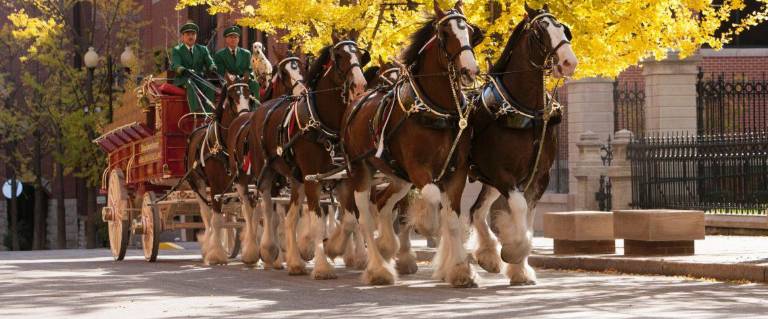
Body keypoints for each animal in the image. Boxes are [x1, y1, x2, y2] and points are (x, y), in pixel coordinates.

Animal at [340, 0, 480, 288]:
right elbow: (434, 199)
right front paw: (427, 226)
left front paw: (461, 270)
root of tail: (356, 102)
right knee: (364, 216)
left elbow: (452, 219)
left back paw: (387, 246)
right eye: (445, 33)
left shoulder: (457, 170)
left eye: (470, 32)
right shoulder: (418, 169)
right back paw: (378, 268)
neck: (437, 109)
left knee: (382, 203)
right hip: (360, 171)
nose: (470, 70)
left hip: (398, 176)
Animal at [468, 4, 576, 284]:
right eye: (540, 31)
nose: (569, 62)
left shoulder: (539, 176)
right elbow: (518, 207)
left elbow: (528, 216)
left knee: (476, 211)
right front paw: (513, 250)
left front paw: (520, 269)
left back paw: (487, 255)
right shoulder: (501, 173)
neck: (525, 110)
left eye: (563, 29)